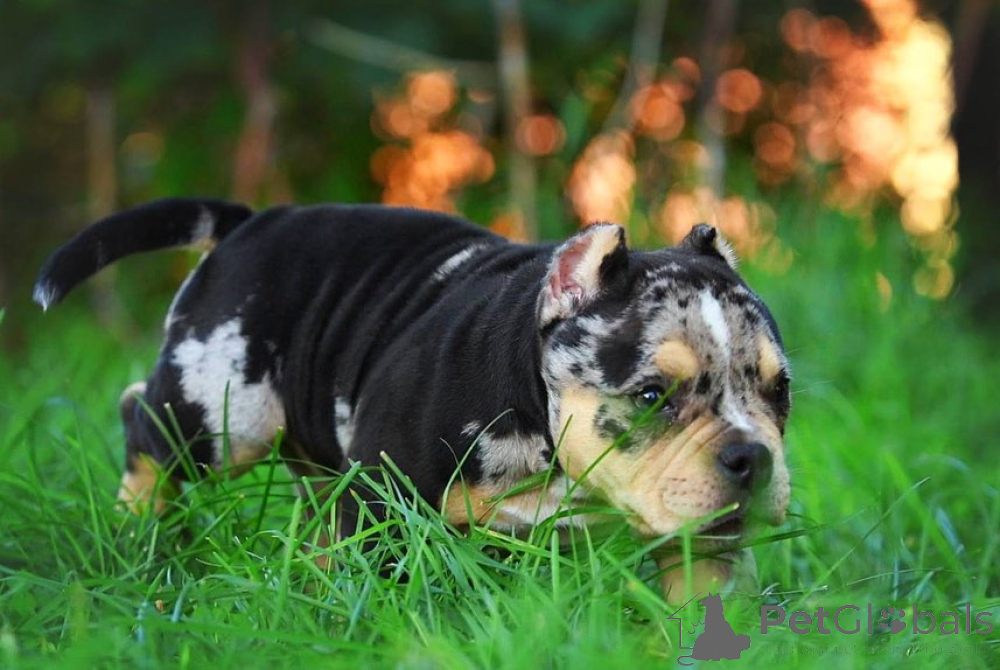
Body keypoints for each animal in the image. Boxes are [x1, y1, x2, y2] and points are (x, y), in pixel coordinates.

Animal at [34, 198, 791, 602]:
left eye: (779, 391)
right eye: (653, 395)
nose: (751, 457)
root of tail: (253, 221)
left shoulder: (707, 541)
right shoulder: (385, 501)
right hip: (223, 411)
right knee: (146, 425)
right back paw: (137, 529)